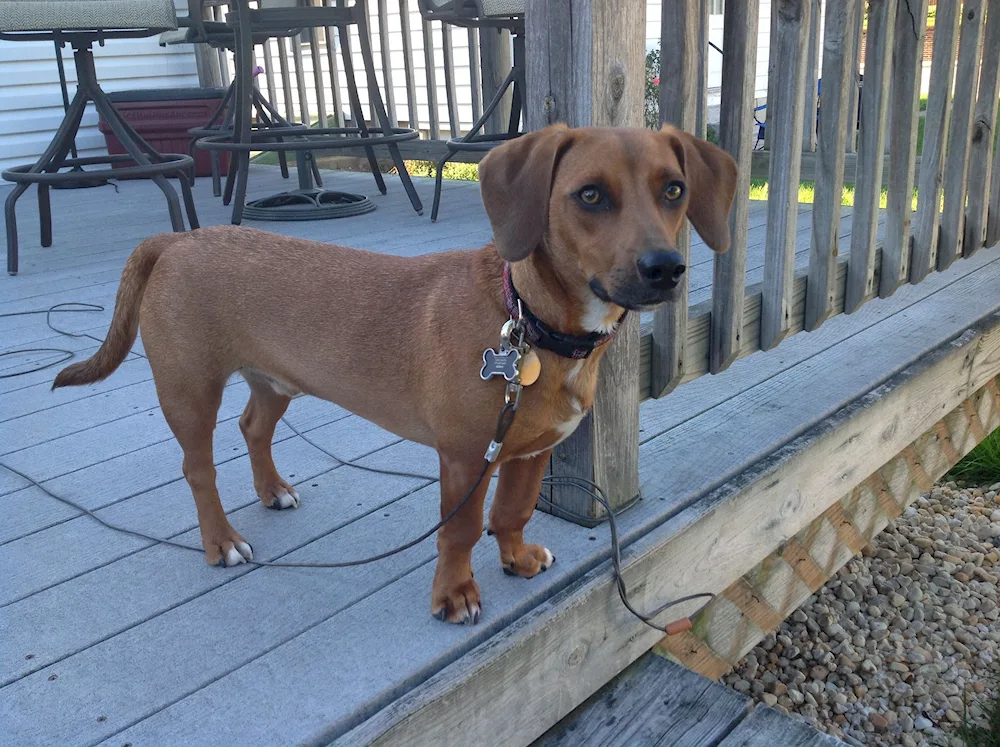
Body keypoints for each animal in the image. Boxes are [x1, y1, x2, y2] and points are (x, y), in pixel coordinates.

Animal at [52, 124, 736, 624]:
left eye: (674, 190)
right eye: (590, 195)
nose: (666, 269)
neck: (528, 322)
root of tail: (174, 241)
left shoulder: (527, 452)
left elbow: (512, 513)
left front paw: (515, 558)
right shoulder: (465, 458)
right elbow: (460, 530)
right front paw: (454, 594)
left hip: (275, 381)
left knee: (253, 429)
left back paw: (273, 490)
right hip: (190, 392)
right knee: (198, 470)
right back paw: (221, 541)